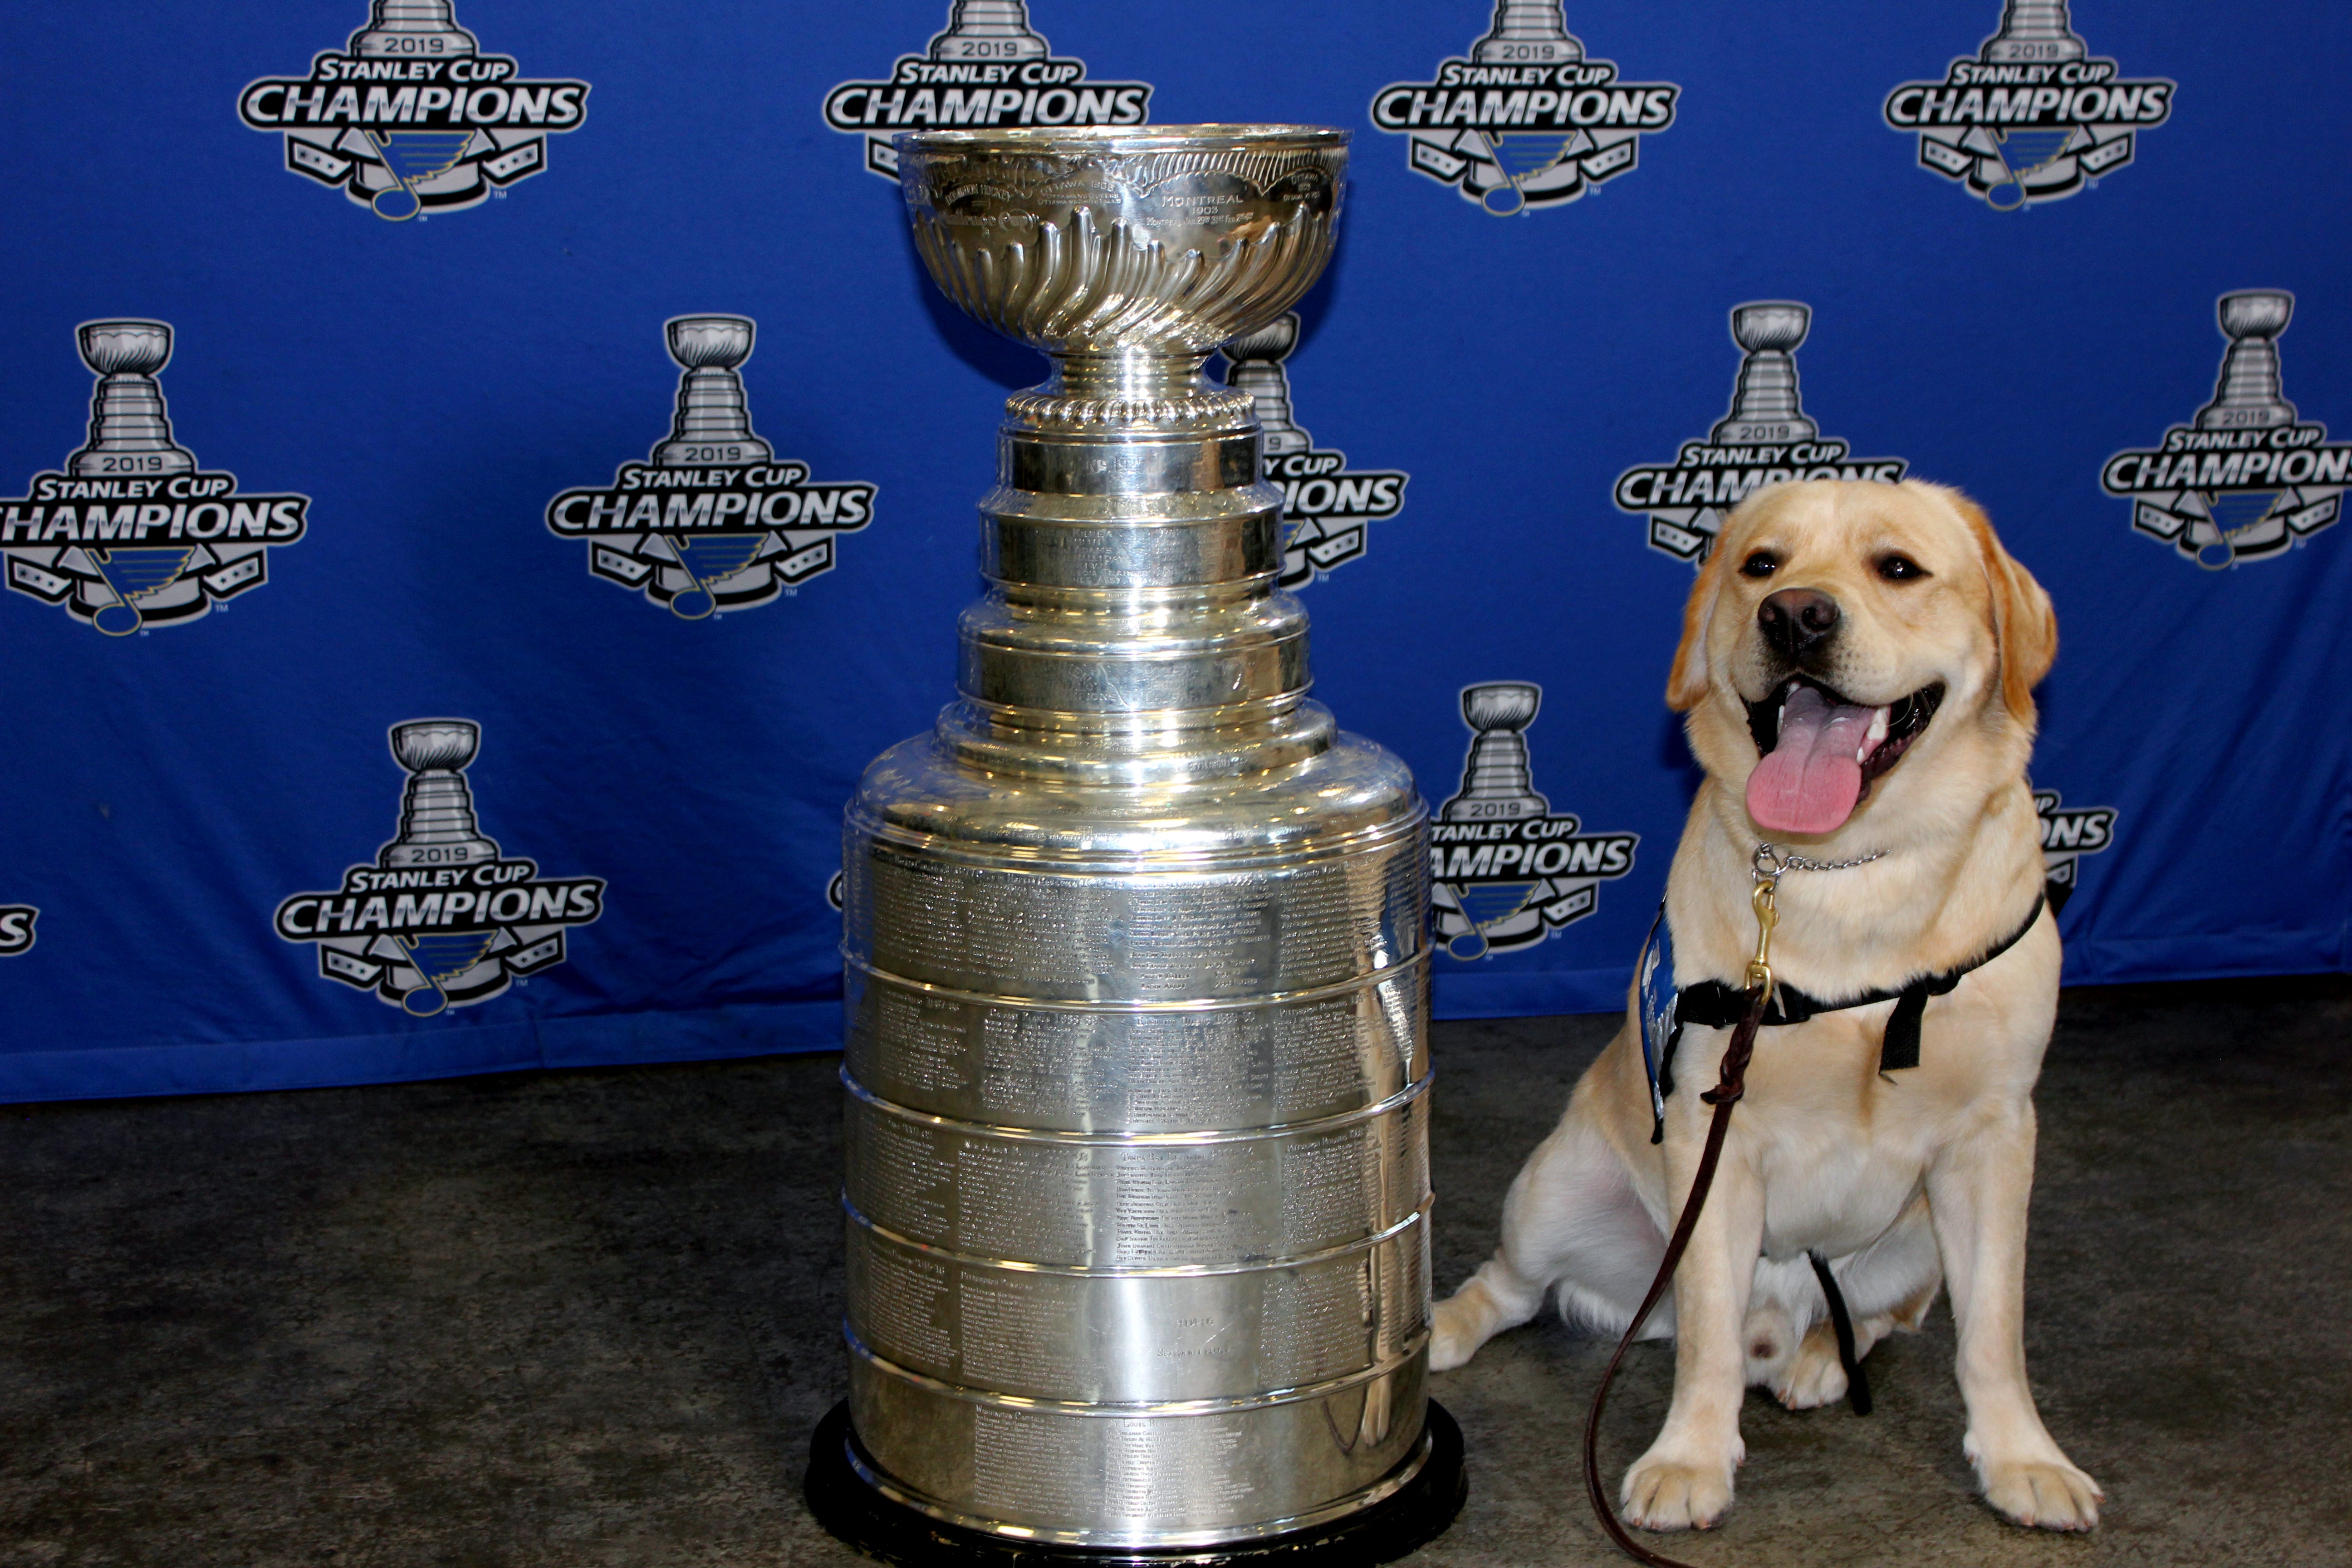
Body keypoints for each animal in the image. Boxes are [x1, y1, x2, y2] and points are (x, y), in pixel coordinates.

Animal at [1430, 480, 2117, 1533]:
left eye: (1897, 568)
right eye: (1761, 565)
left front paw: (2021, 1457)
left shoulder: (1994, 1139)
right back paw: (1436, 1332)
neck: (1847, 875)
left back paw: (1821, 1356)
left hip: (1914, 1241)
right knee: (1516, 1287)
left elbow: (1993, 1331)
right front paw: (1690, 1457)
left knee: (1883, 1316)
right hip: (1555, 1191)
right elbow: (1708, 1331)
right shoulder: (1720, 1137)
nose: (1795, 614)